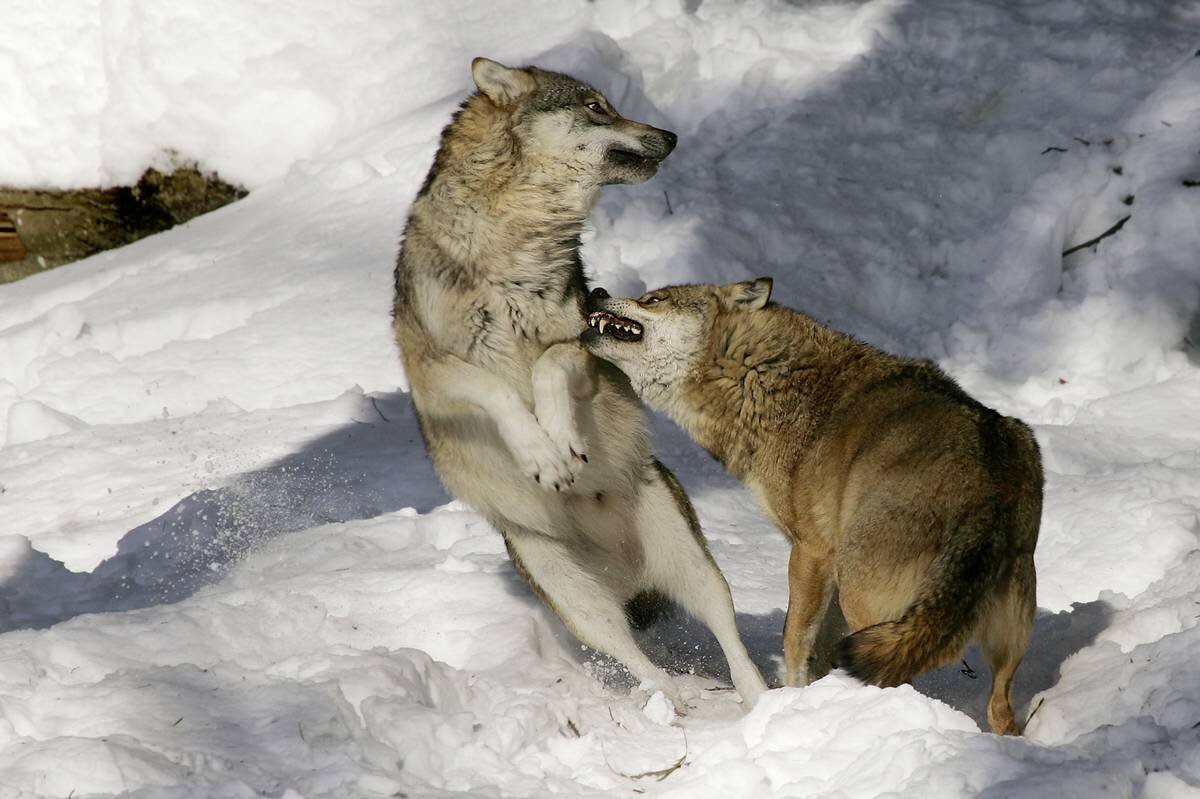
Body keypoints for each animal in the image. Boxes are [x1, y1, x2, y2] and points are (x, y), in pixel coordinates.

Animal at [393, 57, 768, 710]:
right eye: (595, 107)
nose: (671, 136)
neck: (513, 249)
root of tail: (621, 568)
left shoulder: (589, 350)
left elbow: (546, 364)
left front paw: (562, 444)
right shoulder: (432, 376)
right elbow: (497, 390)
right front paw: (542, 457)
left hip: (692, 563)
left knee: (727, 634)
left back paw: (759, 702)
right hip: (573, 596)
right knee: (635, 656)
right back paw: (674, 700)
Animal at [580, 277, 1041, 729]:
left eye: (654, 299)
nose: (596, 292)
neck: (762, 379)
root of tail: (987, 485)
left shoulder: (811, 551)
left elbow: (793, 636)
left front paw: (792, 696)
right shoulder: (829, 565)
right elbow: (822, 646)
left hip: (863, 595)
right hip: (1000, 634)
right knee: (1001, 710)